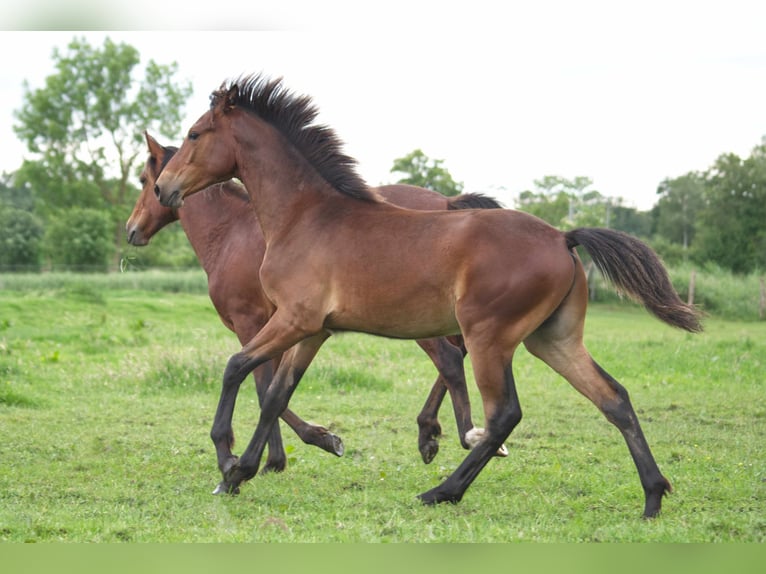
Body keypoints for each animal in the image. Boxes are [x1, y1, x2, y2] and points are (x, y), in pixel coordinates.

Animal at [128, 133, 508, 474]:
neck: (230, 234)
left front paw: (292, 450)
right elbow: (274, 388)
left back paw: (435, 434)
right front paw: (283, 453)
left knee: (449, 358)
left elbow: (261, 386)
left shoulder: (250, 323)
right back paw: (438, 433)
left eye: (145, 180)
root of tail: (447, 203)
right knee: (458, 354)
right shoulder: (283, 327)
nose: (132, 229)